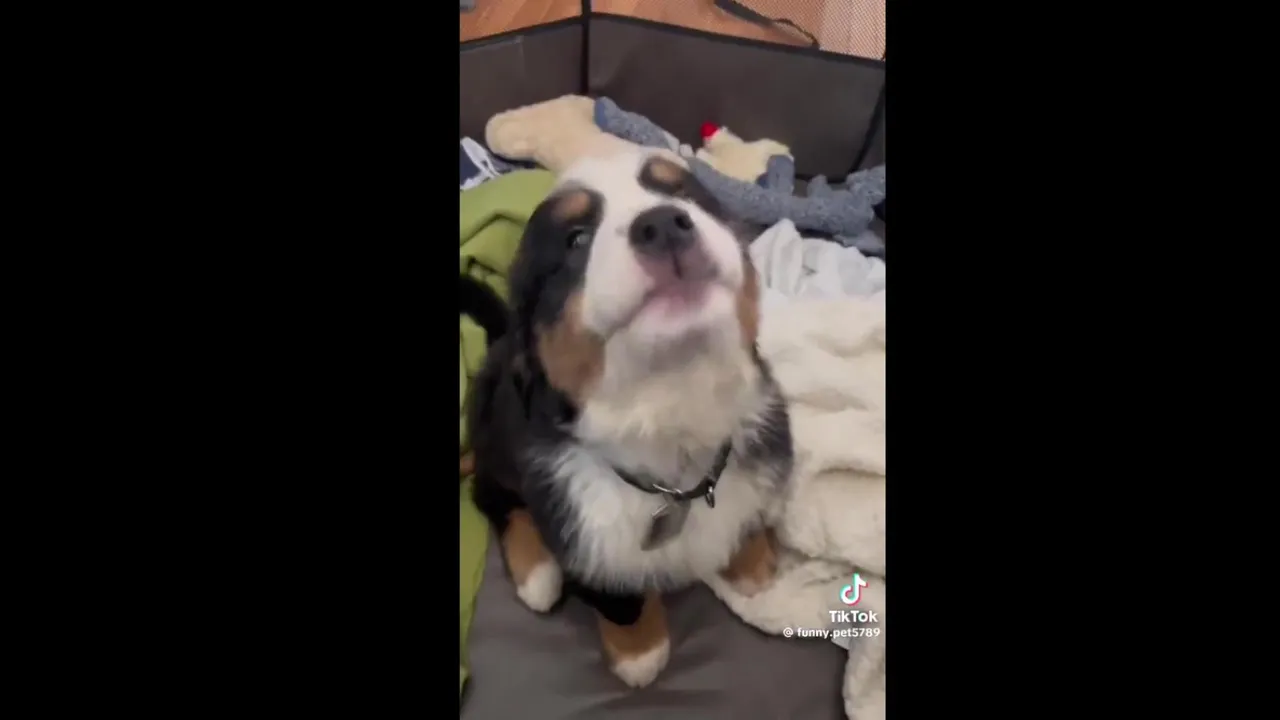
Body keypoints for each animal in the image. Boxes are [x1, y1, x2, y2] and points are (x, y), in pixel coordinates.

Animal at [466, 149, 793, 689]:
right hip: (498, 439)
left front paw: (751, 567)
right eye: (577, 239)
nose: (662, 224)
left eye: (679, 192)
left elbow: (745, 520)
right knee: (491, 494)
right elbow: (621, 601)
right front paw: (640, 654)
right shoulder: (584, 534)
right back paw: (536, 572)